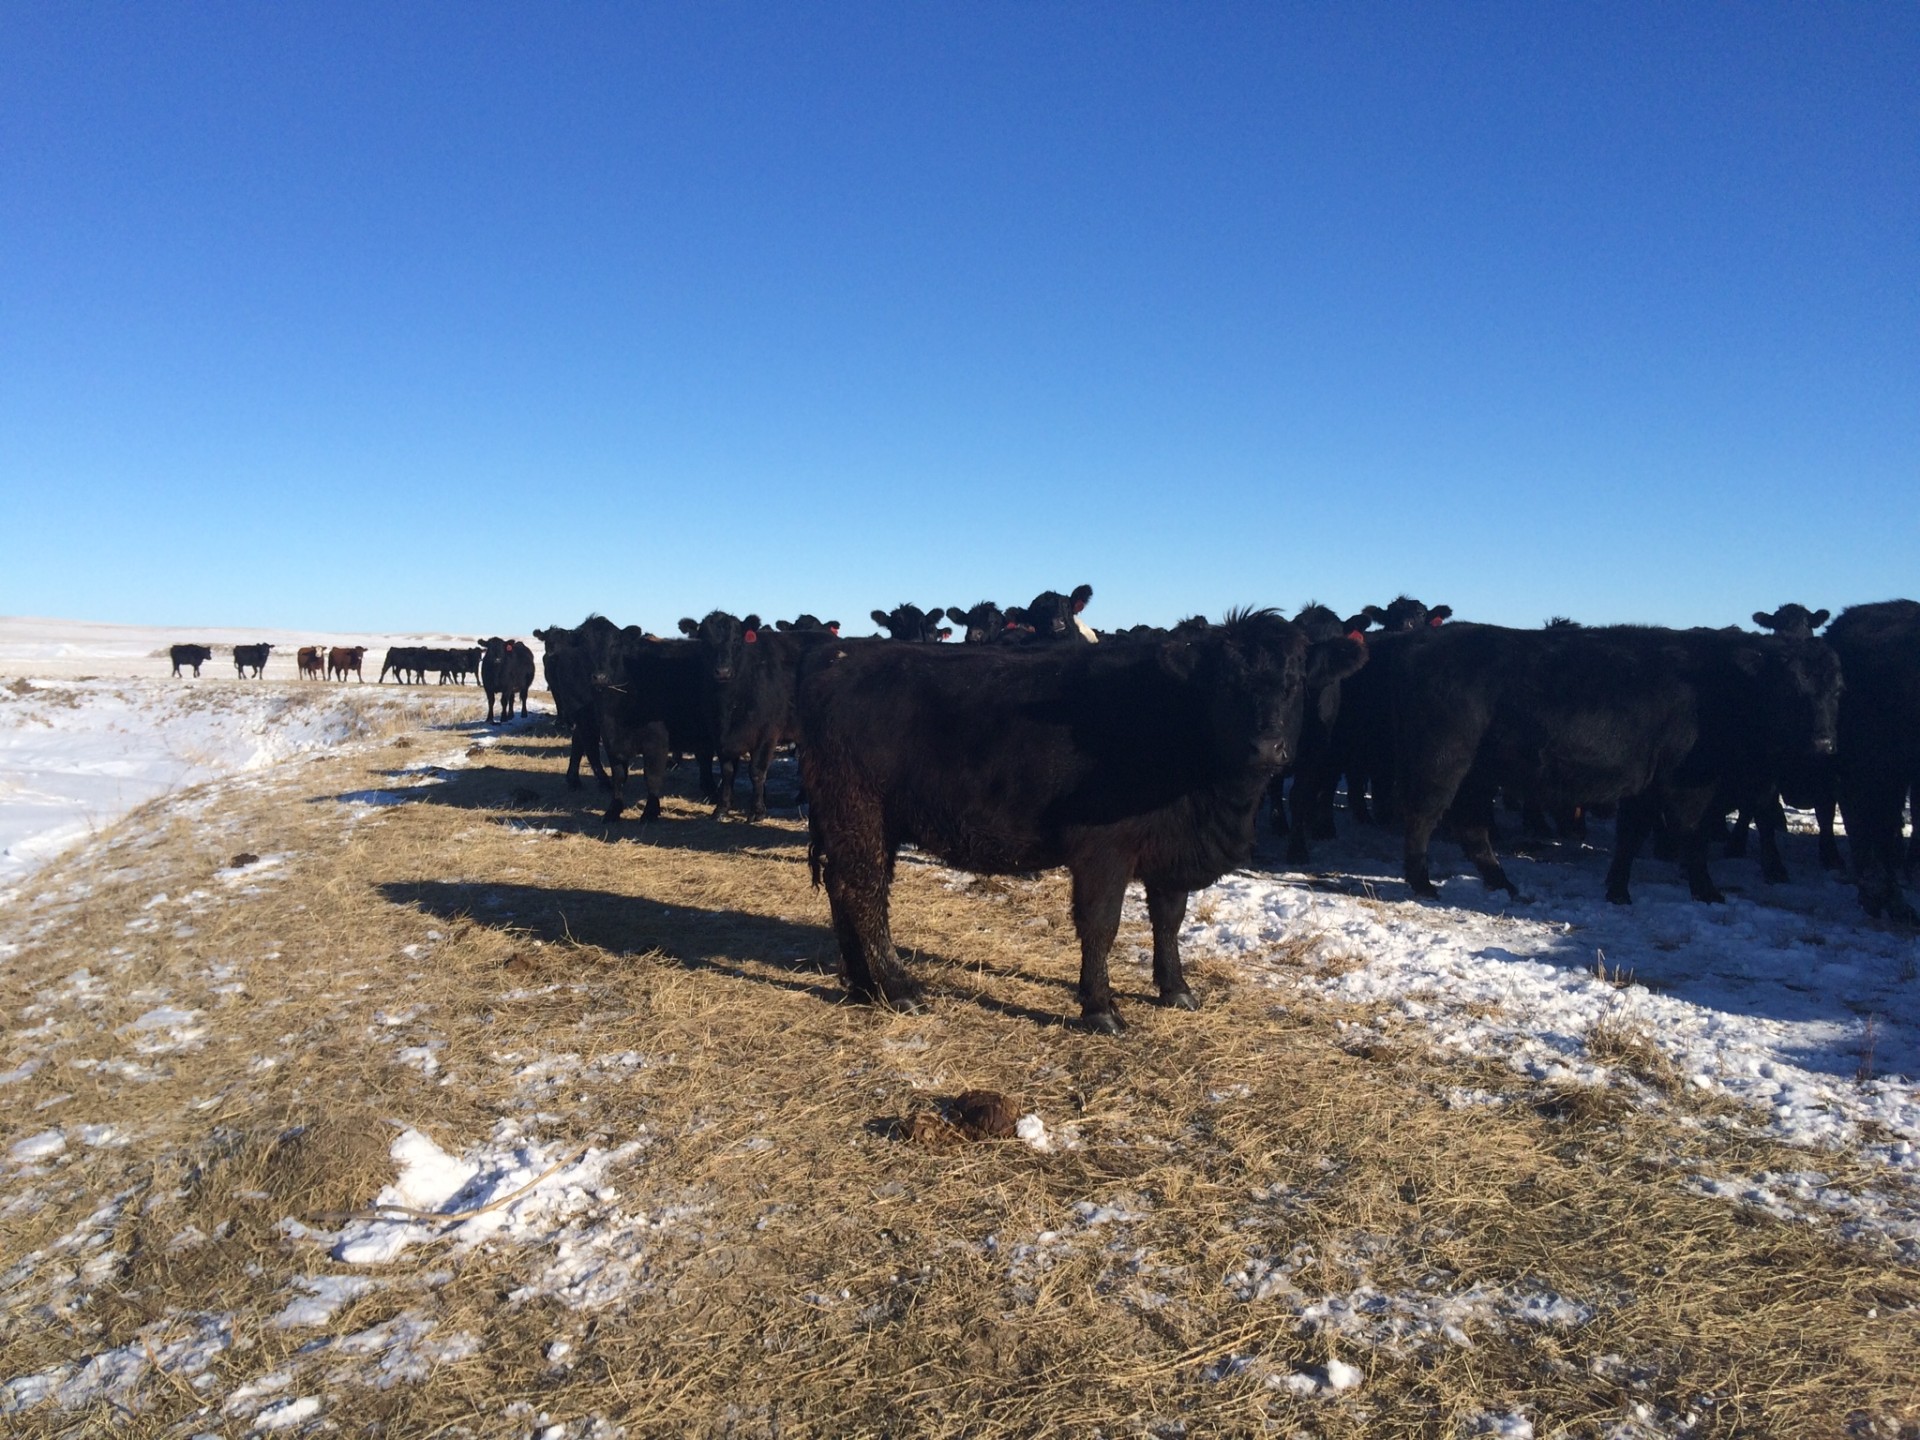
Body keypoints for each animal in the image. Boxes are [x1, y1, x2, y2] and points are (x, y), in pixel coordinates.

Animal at [675, 610, 833, 817]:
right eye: (705, 641)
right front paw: (722, 807)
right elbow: (727, 771)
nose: (723, 671)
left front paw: (757, 810)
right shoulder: (719, 735)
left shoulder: (767, 733)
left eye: (736, 640)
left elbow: (756, 771)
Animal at [794, 614, 1367, 1029]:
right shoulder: (1103, 849)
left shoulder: (1170, 848)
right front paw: (1100, 1008)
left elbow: (1169, 919)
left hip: (864, 821)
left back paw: (861, 986)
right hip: (858, 809)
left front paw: (1176, 989)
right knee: (864, 891)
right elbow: (1101, 924)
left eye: (1294, 682)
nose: (1266, 747)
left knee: (846, 889)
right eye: (1226, 684)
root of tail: (837, 660)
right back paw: (900, 989)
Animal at [1397, 622, 1843, 913]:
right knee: (1422, 817)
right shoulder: (1686, 785)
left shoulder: (1645, 783)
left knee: (1471, 827)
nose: (1823, 743)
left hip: (1477, 774)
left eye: (1837, 689)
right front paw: (1707, 892)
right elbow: (1691, 836)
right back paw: (1423, 884)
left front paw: (1617, 892)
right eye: (1789, 689)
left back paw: (1502, 883)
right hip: (1443, 762)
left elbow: (1631, 835)